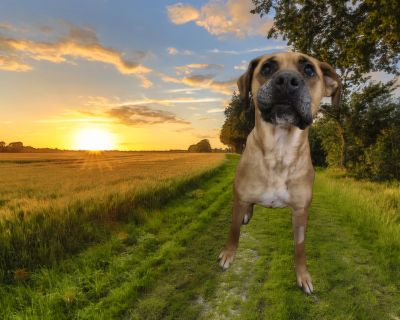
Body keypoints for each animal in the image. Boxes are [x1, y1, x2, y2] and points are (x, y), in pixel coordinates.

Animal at [219, 52, 340, 296]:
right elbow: (233, 231)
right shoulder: (241, 197)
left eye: (309, 69)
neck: (280, 150)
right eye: (267, 68)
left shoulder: (301, 212)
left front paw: (303, 276)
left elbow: (300, 249)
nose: (286, 80)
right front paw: (228, 254)